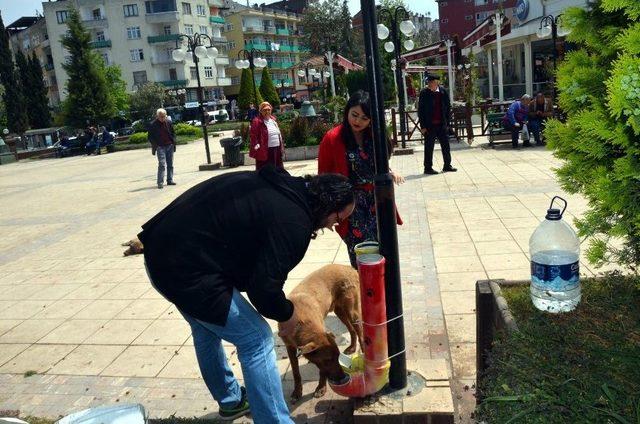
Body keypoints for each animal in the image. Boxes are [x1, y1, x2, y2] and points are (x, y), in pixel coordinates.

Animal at [280, 264, 364, 402]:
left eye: (337, 357)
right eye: (329, 359)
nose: (342, 377)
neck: (301, 323)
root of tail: (348, 267)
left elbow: (322, 371)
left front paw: (321, 388)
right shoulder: (290, 347)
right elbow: (296, 372)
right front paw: (297, 391)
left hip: (352, 311)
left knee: (360, 332)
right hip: (339, 310)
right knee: (351, 330)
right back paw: (352, 347)